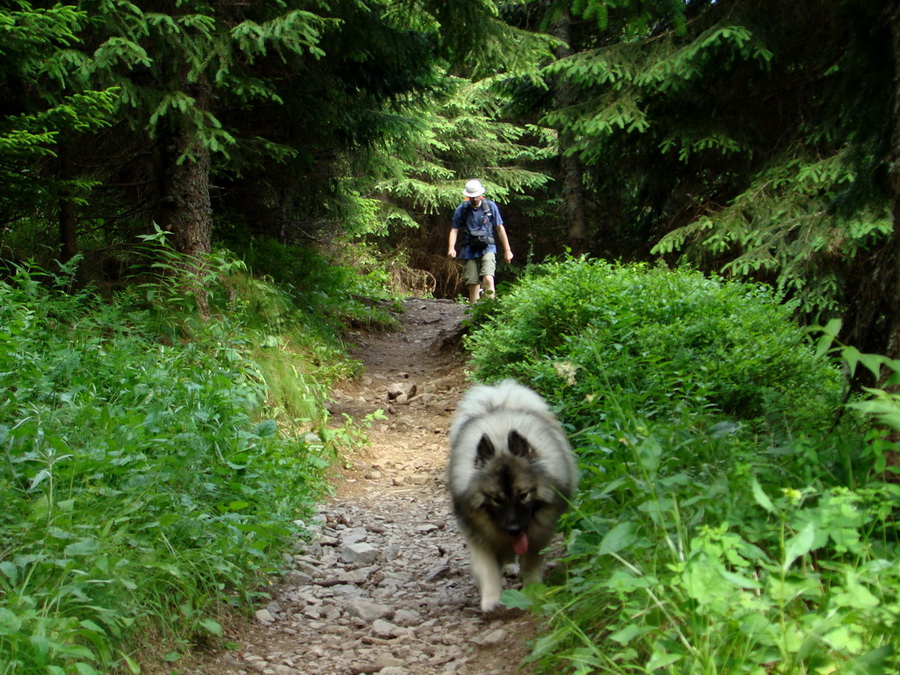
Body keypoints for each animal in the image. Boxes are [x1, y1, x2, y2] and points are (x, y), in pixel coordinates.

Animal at [448, 380, 576, 612]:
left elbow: (532, 564)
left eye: (524, 495)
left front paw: (532, 591)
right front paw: (491, 599)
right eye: (496, 499)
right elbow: (487, 568)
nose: (513, 529)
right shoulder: (480, 535)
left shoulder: (537, 536)